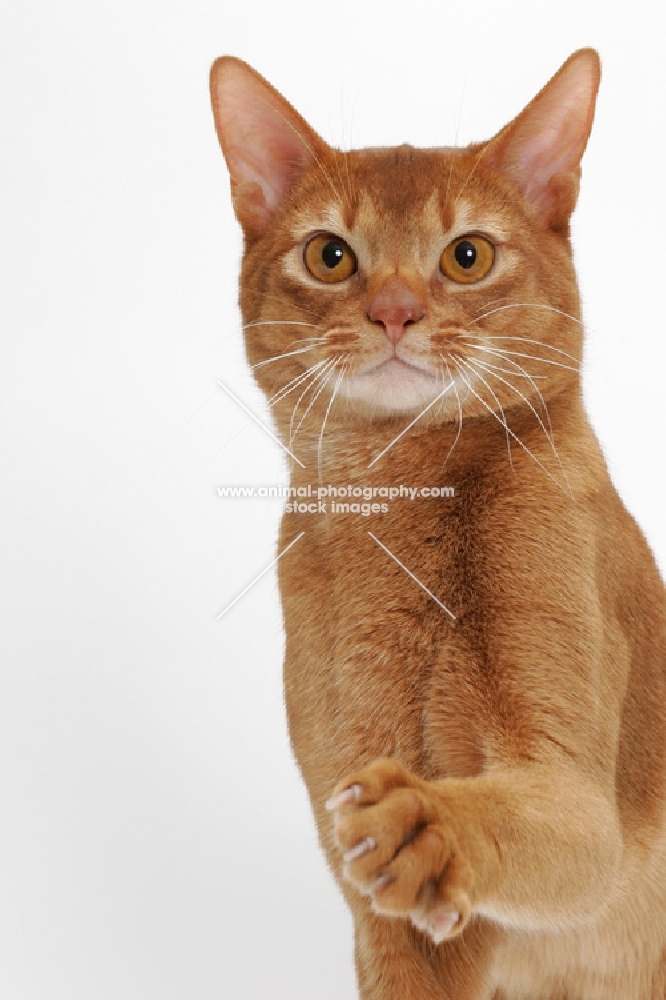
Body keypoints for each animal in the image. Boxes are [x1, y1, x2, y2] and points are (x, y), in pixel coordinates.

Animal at [210, 48, 664, 1000]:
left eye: (467, 255)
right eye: (331, 256)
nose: (394, 312)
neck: (393, 501)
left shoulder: (580, 804)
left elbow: (534, 821)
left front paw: (430, 824)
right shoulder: (387, 924)